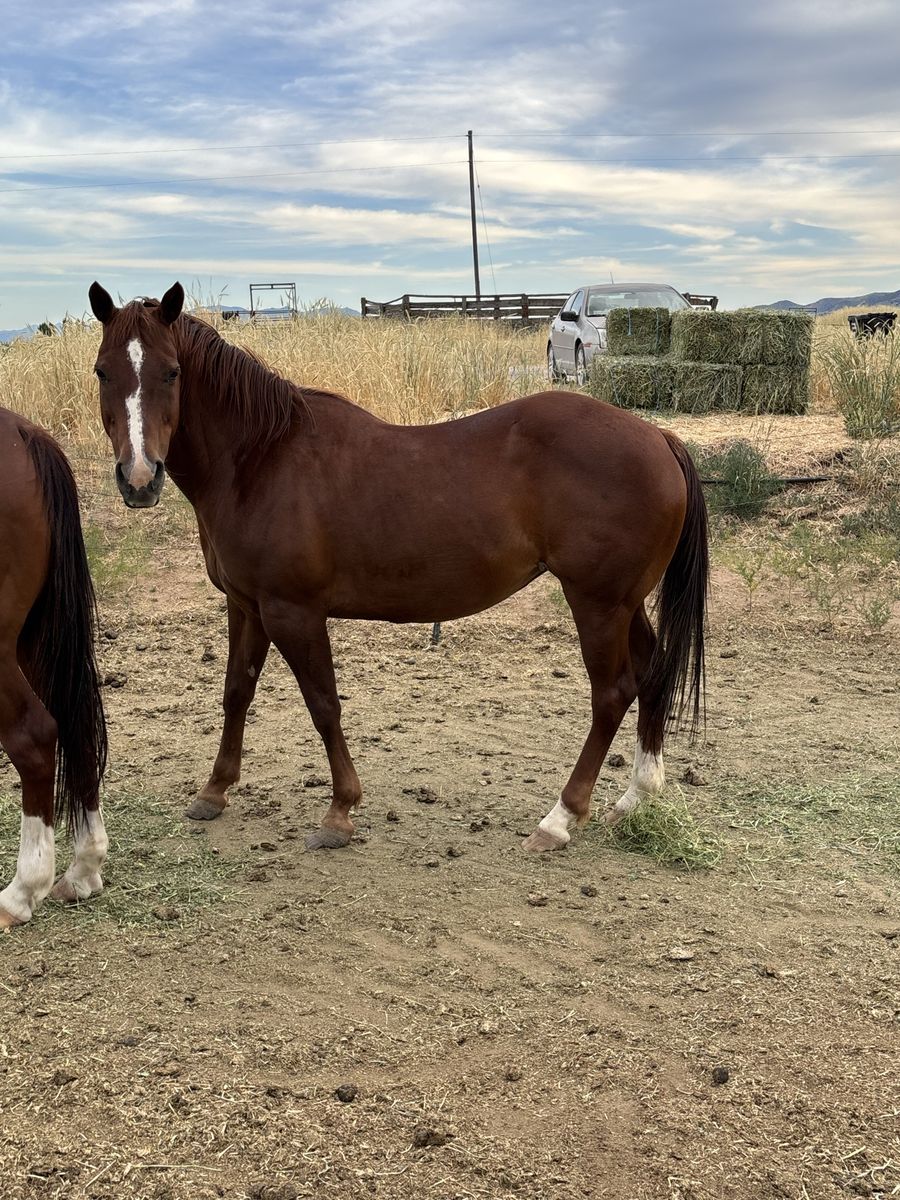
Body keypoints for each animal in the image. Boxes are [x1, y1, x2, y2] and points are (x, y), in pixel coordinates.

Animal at [88, 281, 708, 854]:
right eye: (102, 372)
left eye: (171, 373)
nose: (139, 479)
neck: (260, 460)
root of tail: (658, 436)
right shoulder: (247, 606)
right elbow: (236, 690)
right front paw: (214, 791)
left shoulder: (293, 612)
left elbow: (323, 704)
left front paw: (339, 812)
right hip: (624, 603)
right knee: (651, 672)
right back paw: (635, 796)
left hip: (596, 603)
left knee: (612, 694)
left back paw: (560, 818)